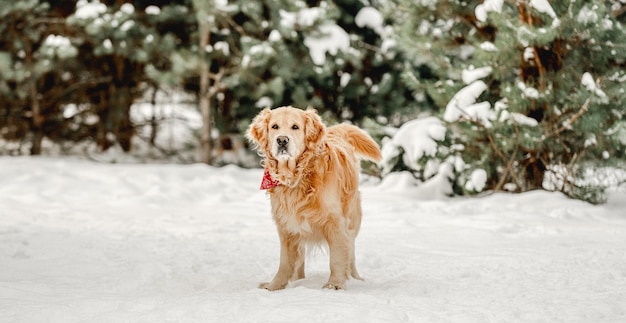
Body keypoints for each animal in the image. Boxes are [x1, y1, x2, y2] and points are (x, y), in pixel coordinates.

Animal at [245, 106, 380, 292]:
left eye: (295, 127)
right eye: (274, 127)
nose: (282, 140)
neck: (298, 176)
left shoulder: (336, 222)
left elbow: (337, 257)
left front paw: (334, 285)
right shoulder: (286, 224)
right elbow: (285, 261)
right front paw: (274, 286)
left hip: (352, 218)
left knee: (351, 250)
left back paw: (355, 278)